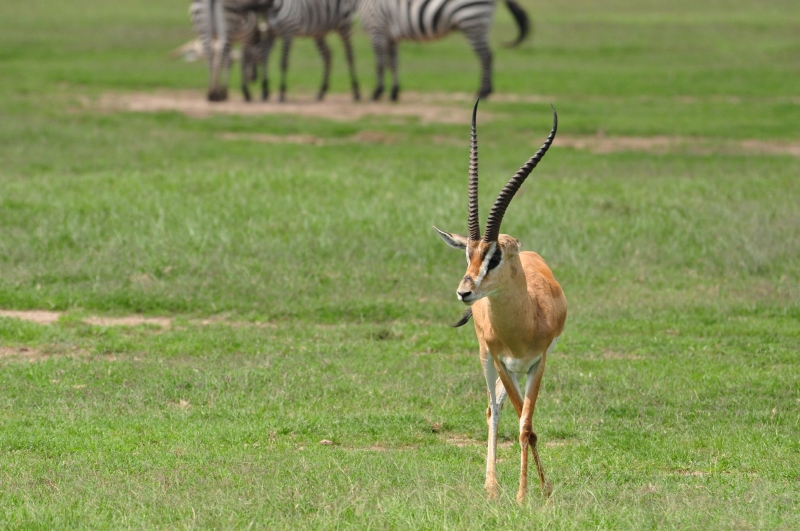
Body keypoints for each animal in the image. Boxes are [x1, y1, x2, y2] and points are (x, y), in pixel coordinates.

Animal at [358, 0, 530, 101]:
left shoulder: (377, 28)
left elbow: (380, 63)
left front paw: (377, 92)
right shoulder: (391, 37)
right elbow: (393, 63)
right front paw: (394, 93)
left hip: (471, 19)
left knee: (486, 56)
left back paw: (483, 92)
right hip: (479, 23)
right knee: (488, 56)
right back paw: (487, 90)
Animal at [434, 100, 566, 502]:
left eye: (495, 257)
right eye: (469, 254)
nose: (464, 291)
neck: (526, 322)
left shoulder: (538, 362)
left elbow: (527, 425)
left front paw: (538, 491)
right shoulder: (501, 361)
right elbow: (517, 419)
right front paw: (522, 495)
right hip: (488, 360)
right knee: (493, 409)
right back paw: (491, 486)